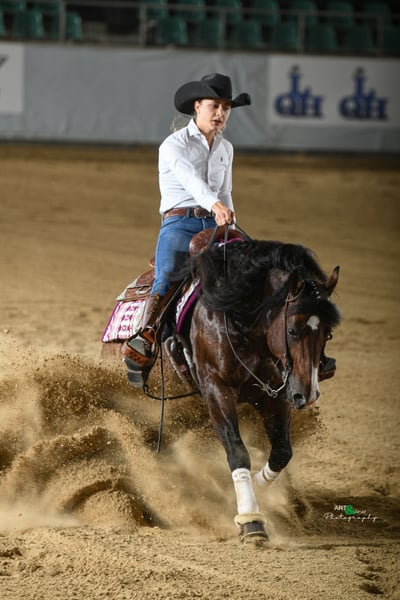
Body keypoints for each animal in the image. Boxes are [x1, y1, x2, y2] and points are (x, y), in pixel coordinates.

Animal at [102, 234, 341, 543]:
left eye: (328, 333)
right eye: (292, 330)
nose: (307, 394)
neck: (244, 320)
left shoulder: (274, 396)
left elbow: (282, 452)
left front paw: (257, 487)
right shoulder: (218, 390)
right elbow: (237, 451)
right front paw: (251, 520)